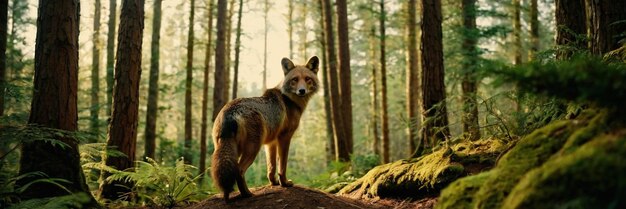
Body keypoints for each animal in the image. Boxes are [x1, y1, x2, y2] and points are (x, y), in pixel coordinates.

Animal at [211, 56, 320, 202]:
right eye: (295, 79)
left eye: (307, 79)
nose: (302, 91)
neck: (289, 100)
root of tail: (230, 112)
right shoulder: (284, 138)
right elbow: (282, 166)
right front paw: (284, 183)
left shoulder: (270, 143)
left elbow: (271, 168)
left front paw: (274, 183)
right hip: (252, 149)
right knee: (239, 171)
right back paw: (247, 194)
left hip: (229, 151)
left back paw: (227, 197)